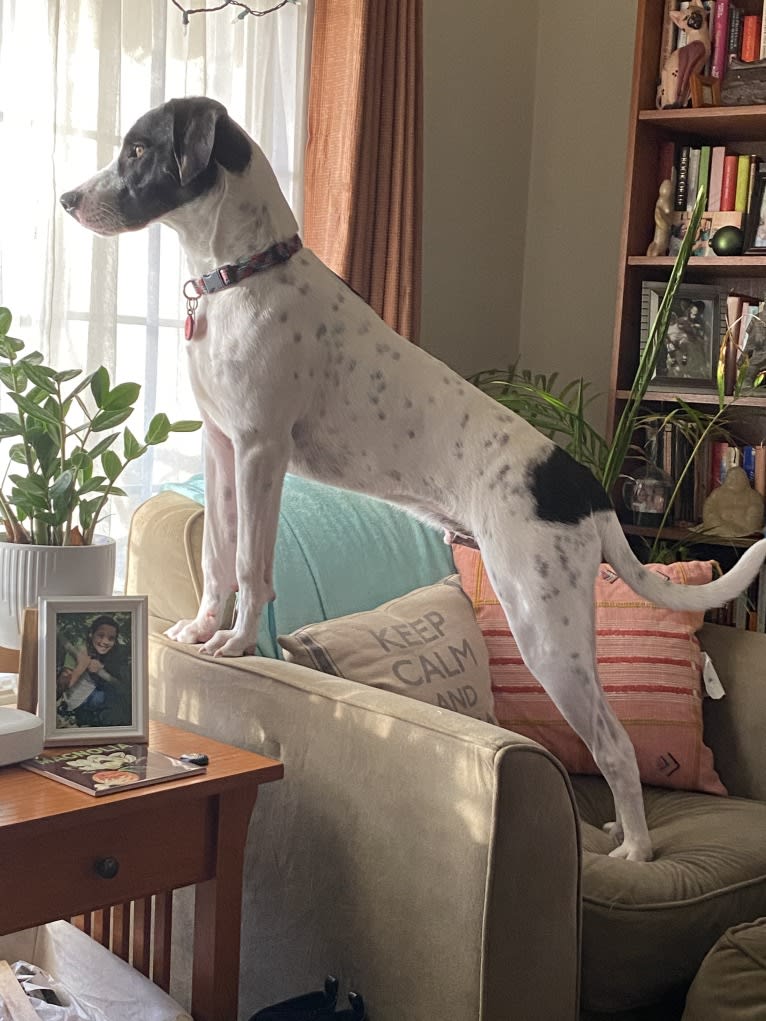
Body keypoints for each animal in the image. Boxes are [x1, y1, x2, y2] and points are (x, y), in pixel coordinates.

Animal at [63, 97, 766, 861]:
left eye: (138, 150)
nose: (67, 199)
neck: (242, 274)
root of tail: (582, 484)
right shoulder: (222, 448)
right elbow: (220, 560)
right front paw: (200, 628)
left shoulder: (259, 452)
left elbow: (252, 566)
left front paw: (239, 642)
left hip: (544, 627)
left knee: (613, 742)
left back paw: (635, 848)